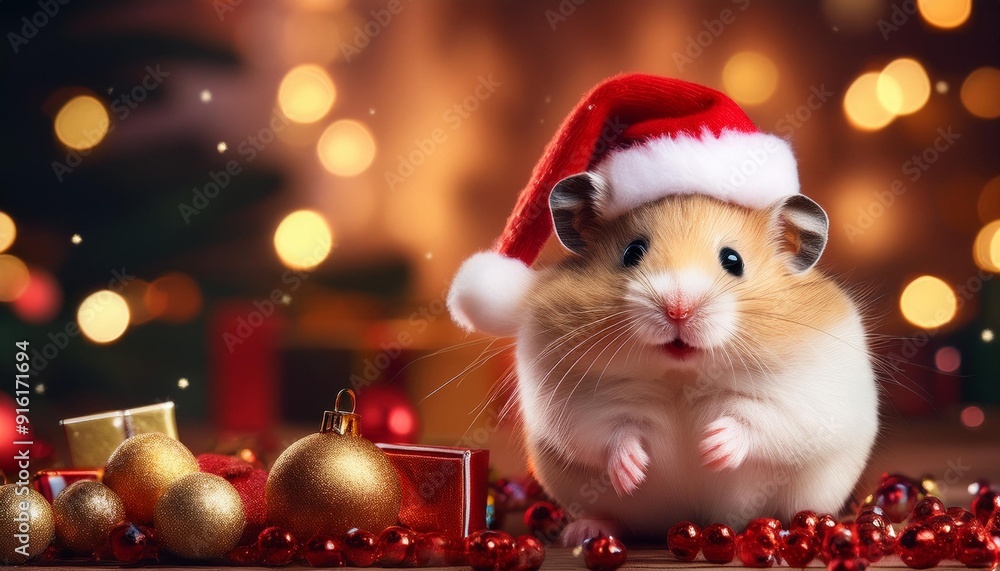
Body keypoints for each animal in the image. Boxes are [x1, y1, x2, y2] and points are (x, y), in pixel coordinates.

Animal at [514, 173, 878, 545]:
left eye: (734, 261)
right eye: (632, 253)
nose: (678, 309)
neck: (682, 375)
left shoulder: (804, 398)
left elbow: (757, 418)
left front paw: (710, 447)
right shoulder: (577, 403)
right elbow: (610, 430)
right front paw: (633, 472)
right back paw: (583, 532)